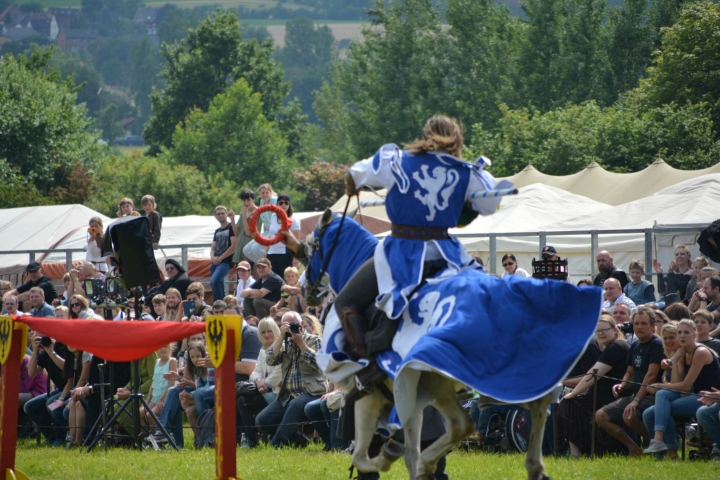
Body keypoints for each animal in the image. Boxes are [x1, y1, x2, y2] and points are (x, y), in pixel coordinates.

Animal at [282, 211, 600, 480]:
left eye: (311, 248)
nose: (306, 290)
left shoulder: (372, 400)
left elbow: (365, 456)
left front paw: (390, 457)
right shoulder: (407, 400)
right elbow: (406, 450)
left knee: (464, 425)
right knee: (536, 408)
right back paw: (534, 467)